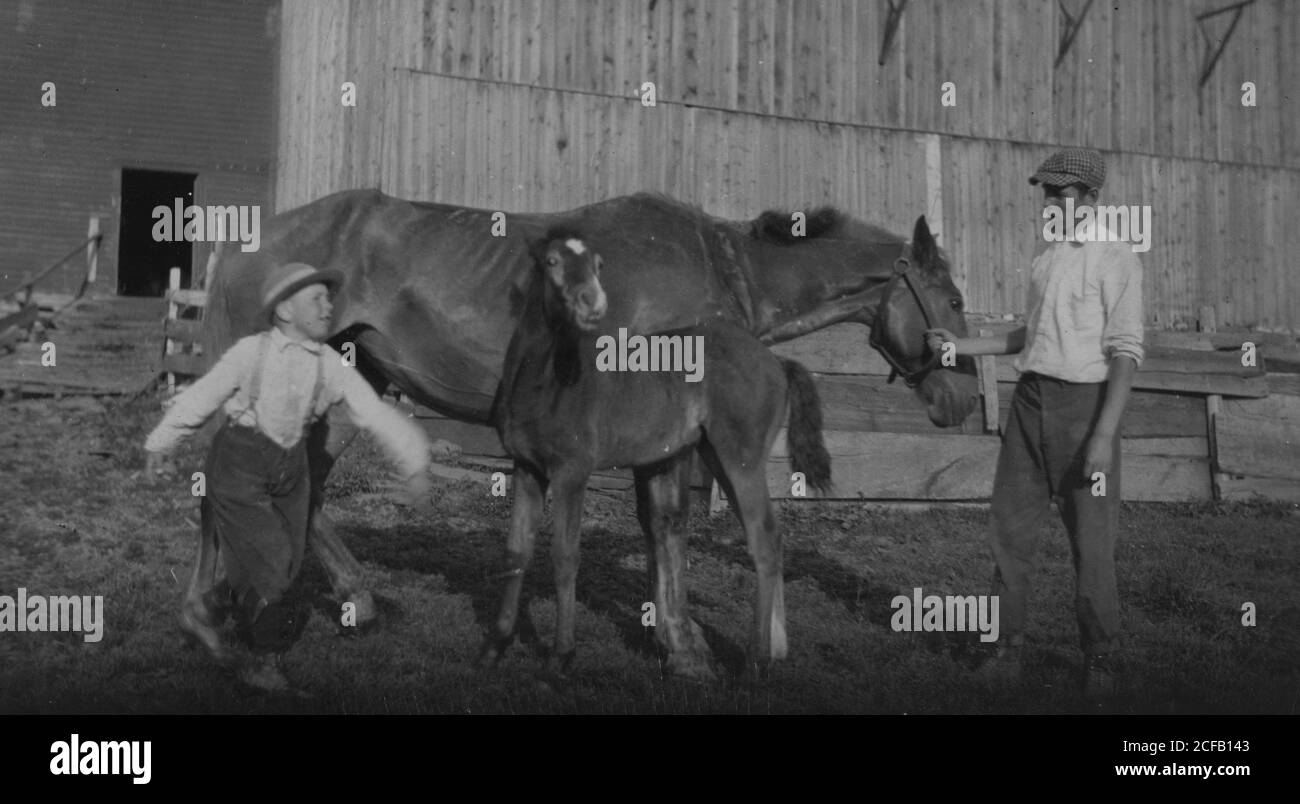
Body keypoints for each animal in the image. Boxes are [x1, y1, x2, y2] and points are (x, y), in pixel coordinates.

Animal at [483, 225, 826, 671]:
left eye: (598, 264)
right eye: (552, 262)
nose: (593, 302)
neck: (543, 382)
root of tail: (775, 361)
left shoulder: (572, 472)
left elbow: (564, 557)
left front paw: (562, 655)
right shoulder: (526, 468)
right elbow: (515, 555)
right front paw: (495, 645)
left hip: (742, 458)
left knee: (764, 539)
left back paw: (756, 659)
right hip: (718, 455)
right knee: (773, 536)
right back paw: (777, 648)